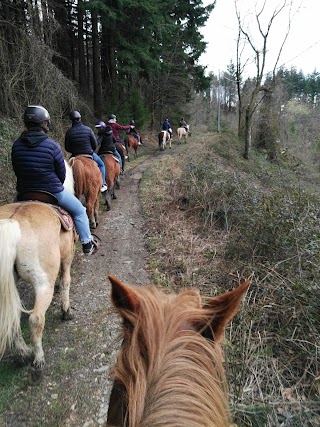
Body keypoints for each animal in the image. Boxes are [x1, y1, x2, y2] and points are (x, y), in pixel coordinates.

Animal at [0, 162, 77, 382]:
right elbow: (66, 282)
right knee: (35, 319)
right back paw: (38, 360)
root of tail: (11, 223)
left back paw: (24, 354)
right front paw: (66, 311)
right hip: (43, 283)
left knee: (12, 320)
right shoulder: (67, 258)